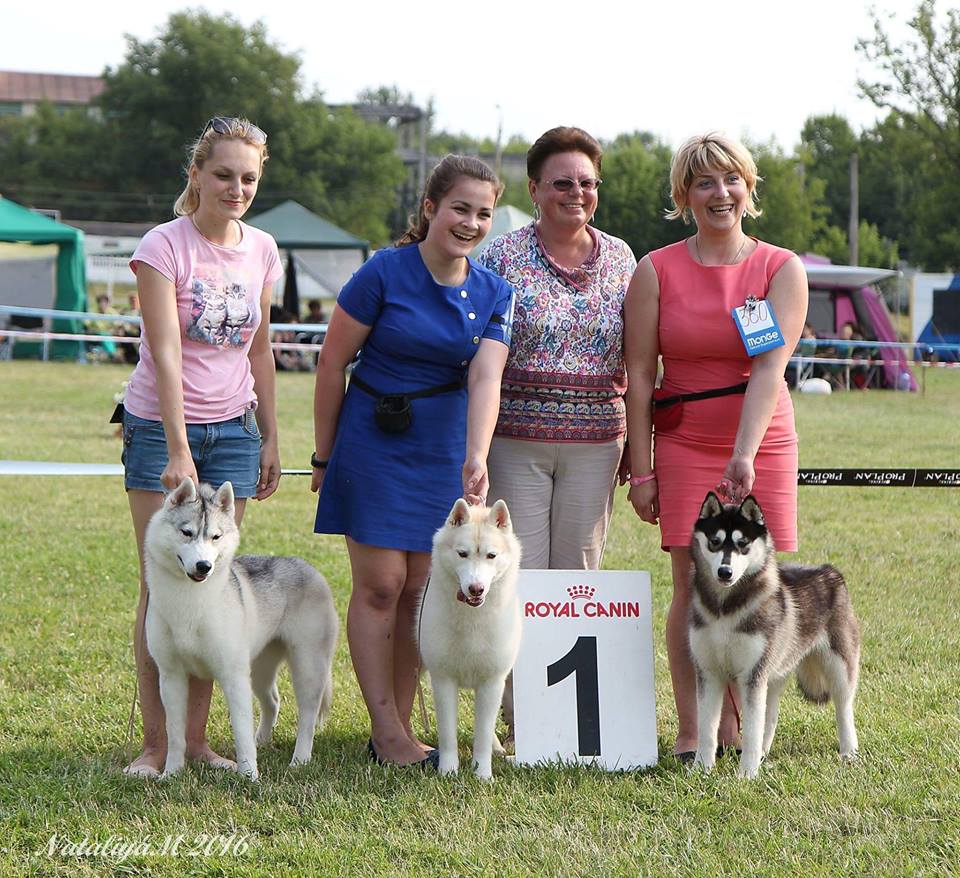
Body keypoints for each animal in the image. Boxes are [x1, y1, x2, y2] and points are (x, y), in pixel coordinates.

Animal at [144, 478, 339, 780]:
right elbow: (174, 733)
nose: (204, 566)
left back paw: (299, 760)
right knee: (272, 701)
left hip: (308, 666)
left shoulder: (233, 676)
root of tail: (311, 569)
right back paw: (265, 741)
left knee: (307, 714)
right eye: (186, 532)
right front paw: (172, 773)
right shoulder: (171, 676)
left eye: (216, 536)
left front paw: (249, 776)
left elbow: (241, 731)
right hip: (259, 669)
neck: (189, 602)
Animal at [417, 498, 522, 780]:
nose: (476, 589)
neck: (471, 619)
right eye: (462, 554)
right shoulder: (443, 681)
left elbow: (483, 735)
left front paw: (482, 774)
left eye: (491, 556)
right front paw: (448, 772)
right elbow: (447, 735)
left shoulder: (492, 682)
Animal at [688, 492, 860, 779]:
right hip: (775, 672)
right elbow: (706, 728)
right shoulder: (708, 672)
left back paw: (849, 751)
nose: (725, 572)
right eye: (714, 542)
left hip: (838, 665)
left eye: (743, 544)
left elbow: (751, 731)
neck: (725, 608)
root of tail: (829, 570)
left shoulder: (751, 675)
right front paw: (701, 769)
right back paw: (763, 753)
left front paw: (746, 774)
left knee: (843, 707)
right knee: (770, 716)